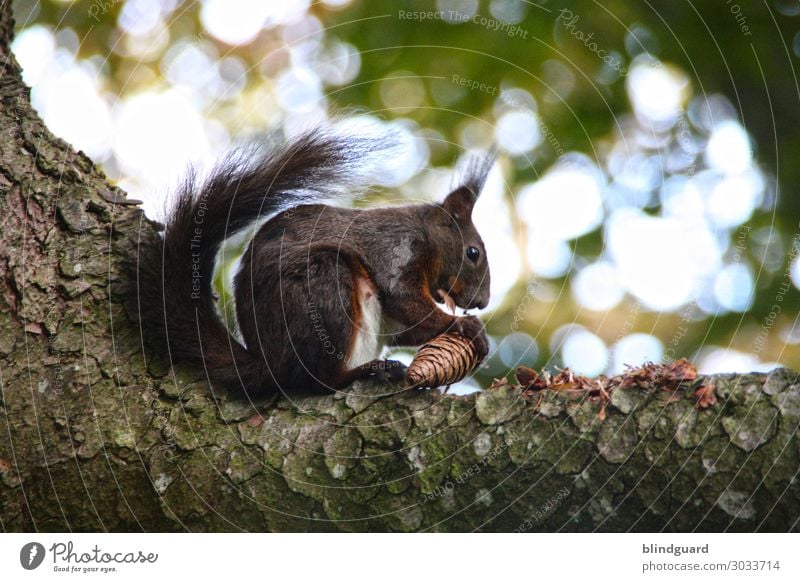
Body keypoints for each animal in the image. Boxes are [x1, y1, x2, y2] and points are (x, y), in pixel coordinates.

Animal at [134, 128, 490, 400]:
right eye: (473, 253)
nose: (483, 303)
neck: (426, 235)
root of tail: (268, 365)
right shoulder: (396, 247)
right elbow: (406, 300)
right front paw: (463, 325)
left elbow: (406, 327)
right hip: (323, 285)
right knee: (313, 381)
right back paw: (367, 371)